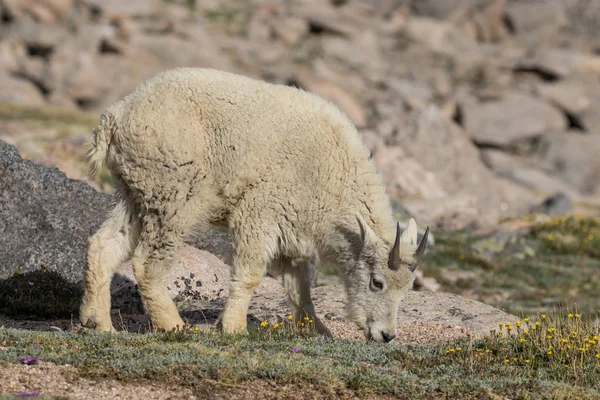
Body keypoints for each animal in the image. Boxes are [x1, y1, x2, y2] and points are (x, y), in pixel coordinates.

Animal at [79, 67, 428, 342]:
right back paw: (173, 325)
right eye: (377, 282)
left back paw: (98, 323)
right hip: (173, 195)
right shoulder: (260, 211)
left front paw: (316, 330)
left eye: (407, 289)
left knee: (104, 245)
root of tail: (114, 117)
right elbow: (250, 274)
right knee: (145, 262)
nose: (386, 335)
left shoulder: (294, 232)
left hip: (135, 193)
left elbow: (300, 288)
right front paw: (232, 328)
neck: (335, 178)